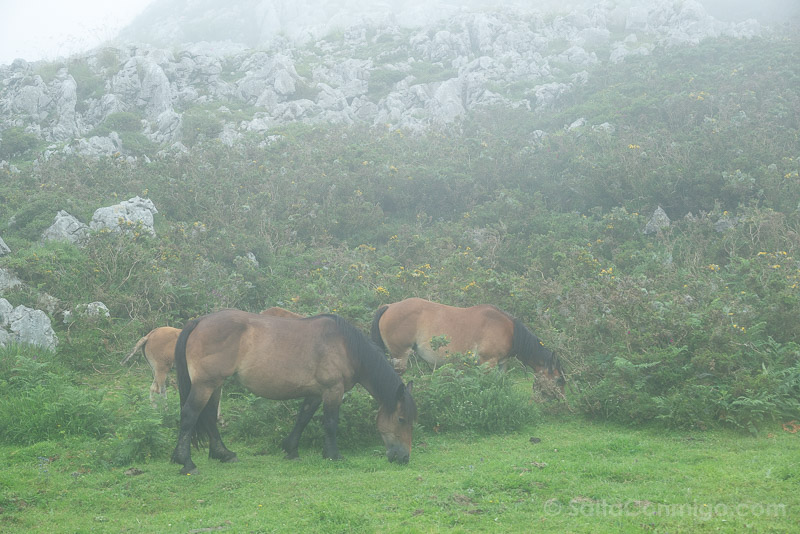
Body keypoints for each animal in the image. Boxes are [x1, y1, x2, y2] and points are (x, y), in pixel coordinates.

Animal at [170, 309, 417, 474]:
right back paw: (186, 463)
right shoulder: (333, 390)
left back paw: (224, 454)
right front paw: (333, 455)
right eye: (401, 419)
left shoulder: (316, 393)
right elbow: (330, 423)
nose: (404, 457)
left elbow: (303, 418)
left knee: (209, 418)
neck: (345, 346)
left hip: (215, 385)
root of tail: (199, 321)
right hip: (206, 384)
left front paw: (291, 450)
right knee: (190, 416)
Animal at [370, 297, 565, 397]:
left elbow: (499, 382)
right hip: (400, 356)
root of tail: (389, 306)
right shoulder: (487, 362)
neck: (508, 330)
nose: (561, 401)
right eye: (557, 380)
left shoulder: (502, 363)